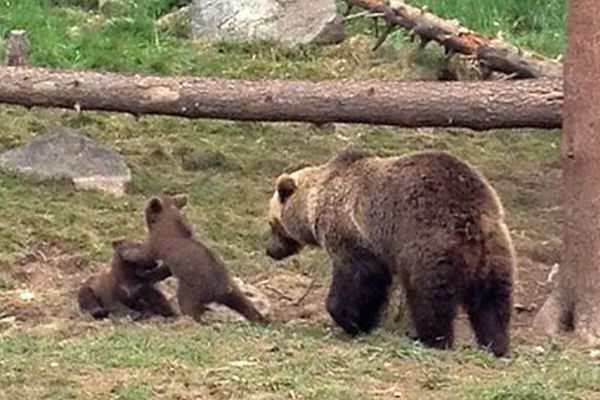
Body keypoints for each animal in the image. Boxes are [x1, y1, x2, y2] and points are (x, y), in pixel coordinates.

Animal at [268, 149, 516, 356]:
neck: (315, 202)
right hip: (495, 253)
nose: (270, 250)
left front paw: (350, 320)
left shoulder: (352, 232)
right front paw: (364, 322)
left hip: (429, 244)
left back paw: (432, 339)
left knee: (430, 298)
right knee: (492, 302)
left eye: (272, 223)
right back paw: (496, 344)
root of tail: (473, 218)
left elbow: (357, 278)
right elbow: (375, 285)